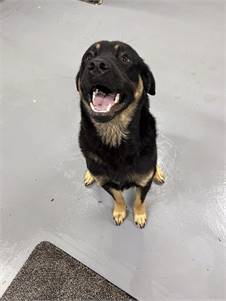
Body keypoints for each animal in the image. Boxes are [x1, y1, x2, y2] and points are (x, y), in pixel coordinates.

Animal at [76, 40, 164, 227]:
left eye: (125, 58)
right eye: (88, 56)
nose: (96, 65)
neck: (114, 134)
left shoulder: (144, 181)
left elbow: (139, 200)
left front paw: (139, 215)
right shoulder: (106, 182)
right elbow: (118, 198)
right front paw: (120, 211)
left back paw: (158, 172)